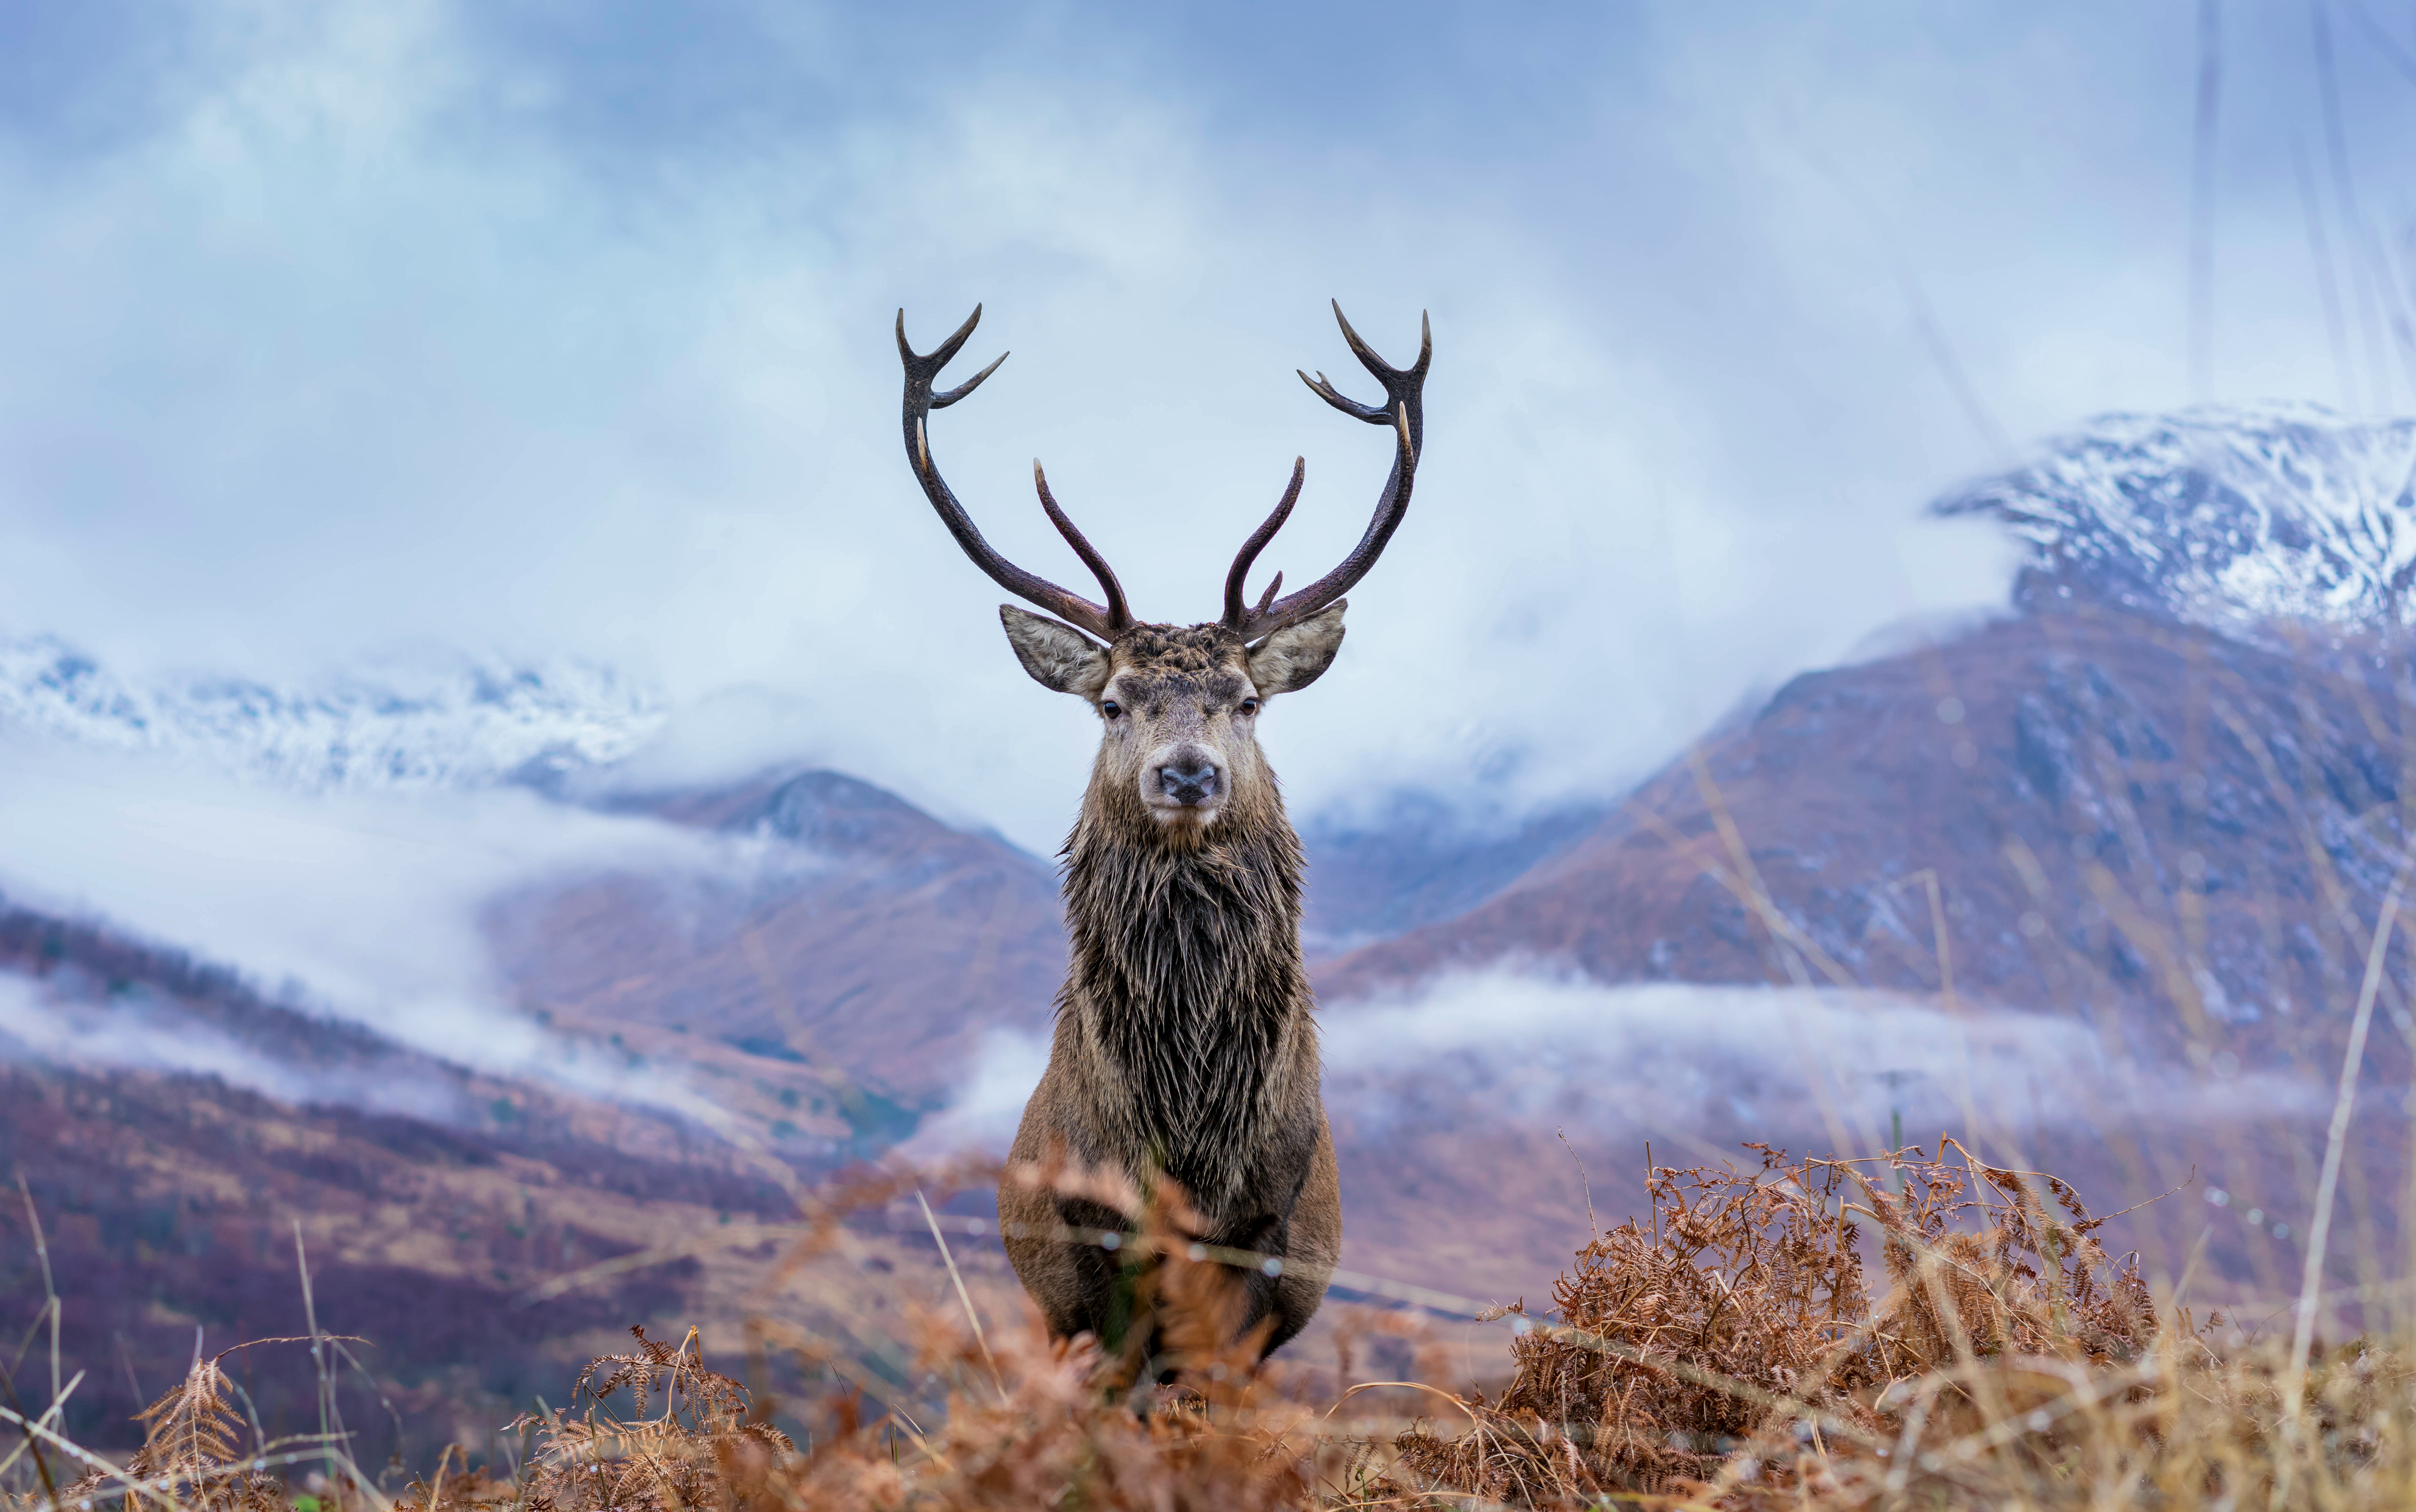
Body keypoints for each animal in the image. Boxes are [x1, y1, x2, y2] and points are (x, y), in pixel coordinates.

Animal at [894, 301, 1420, 1362]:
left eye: (1249, 700)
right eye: (1112, 703)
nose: (1187, 772)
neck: (1190, 1149)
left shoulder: (1261, 1262)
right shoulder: (1088, 1265)